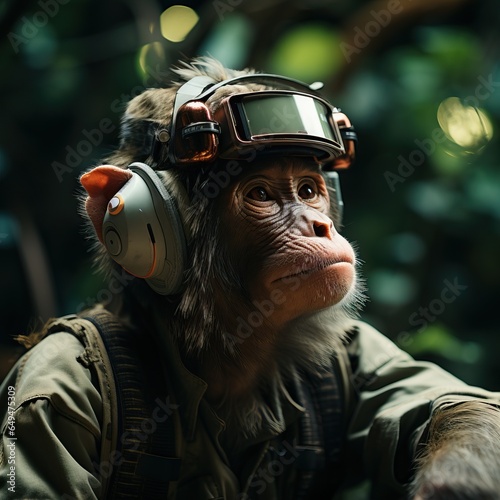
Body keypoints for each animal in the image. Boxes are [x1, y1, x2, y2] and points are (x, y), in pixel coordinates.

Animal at [0, 56, 500, 498]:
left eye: (309, 190)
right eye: (260, 194)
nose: (319, 226)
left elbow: (455, 404)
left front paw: (455, 482)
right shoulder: (45, 392)